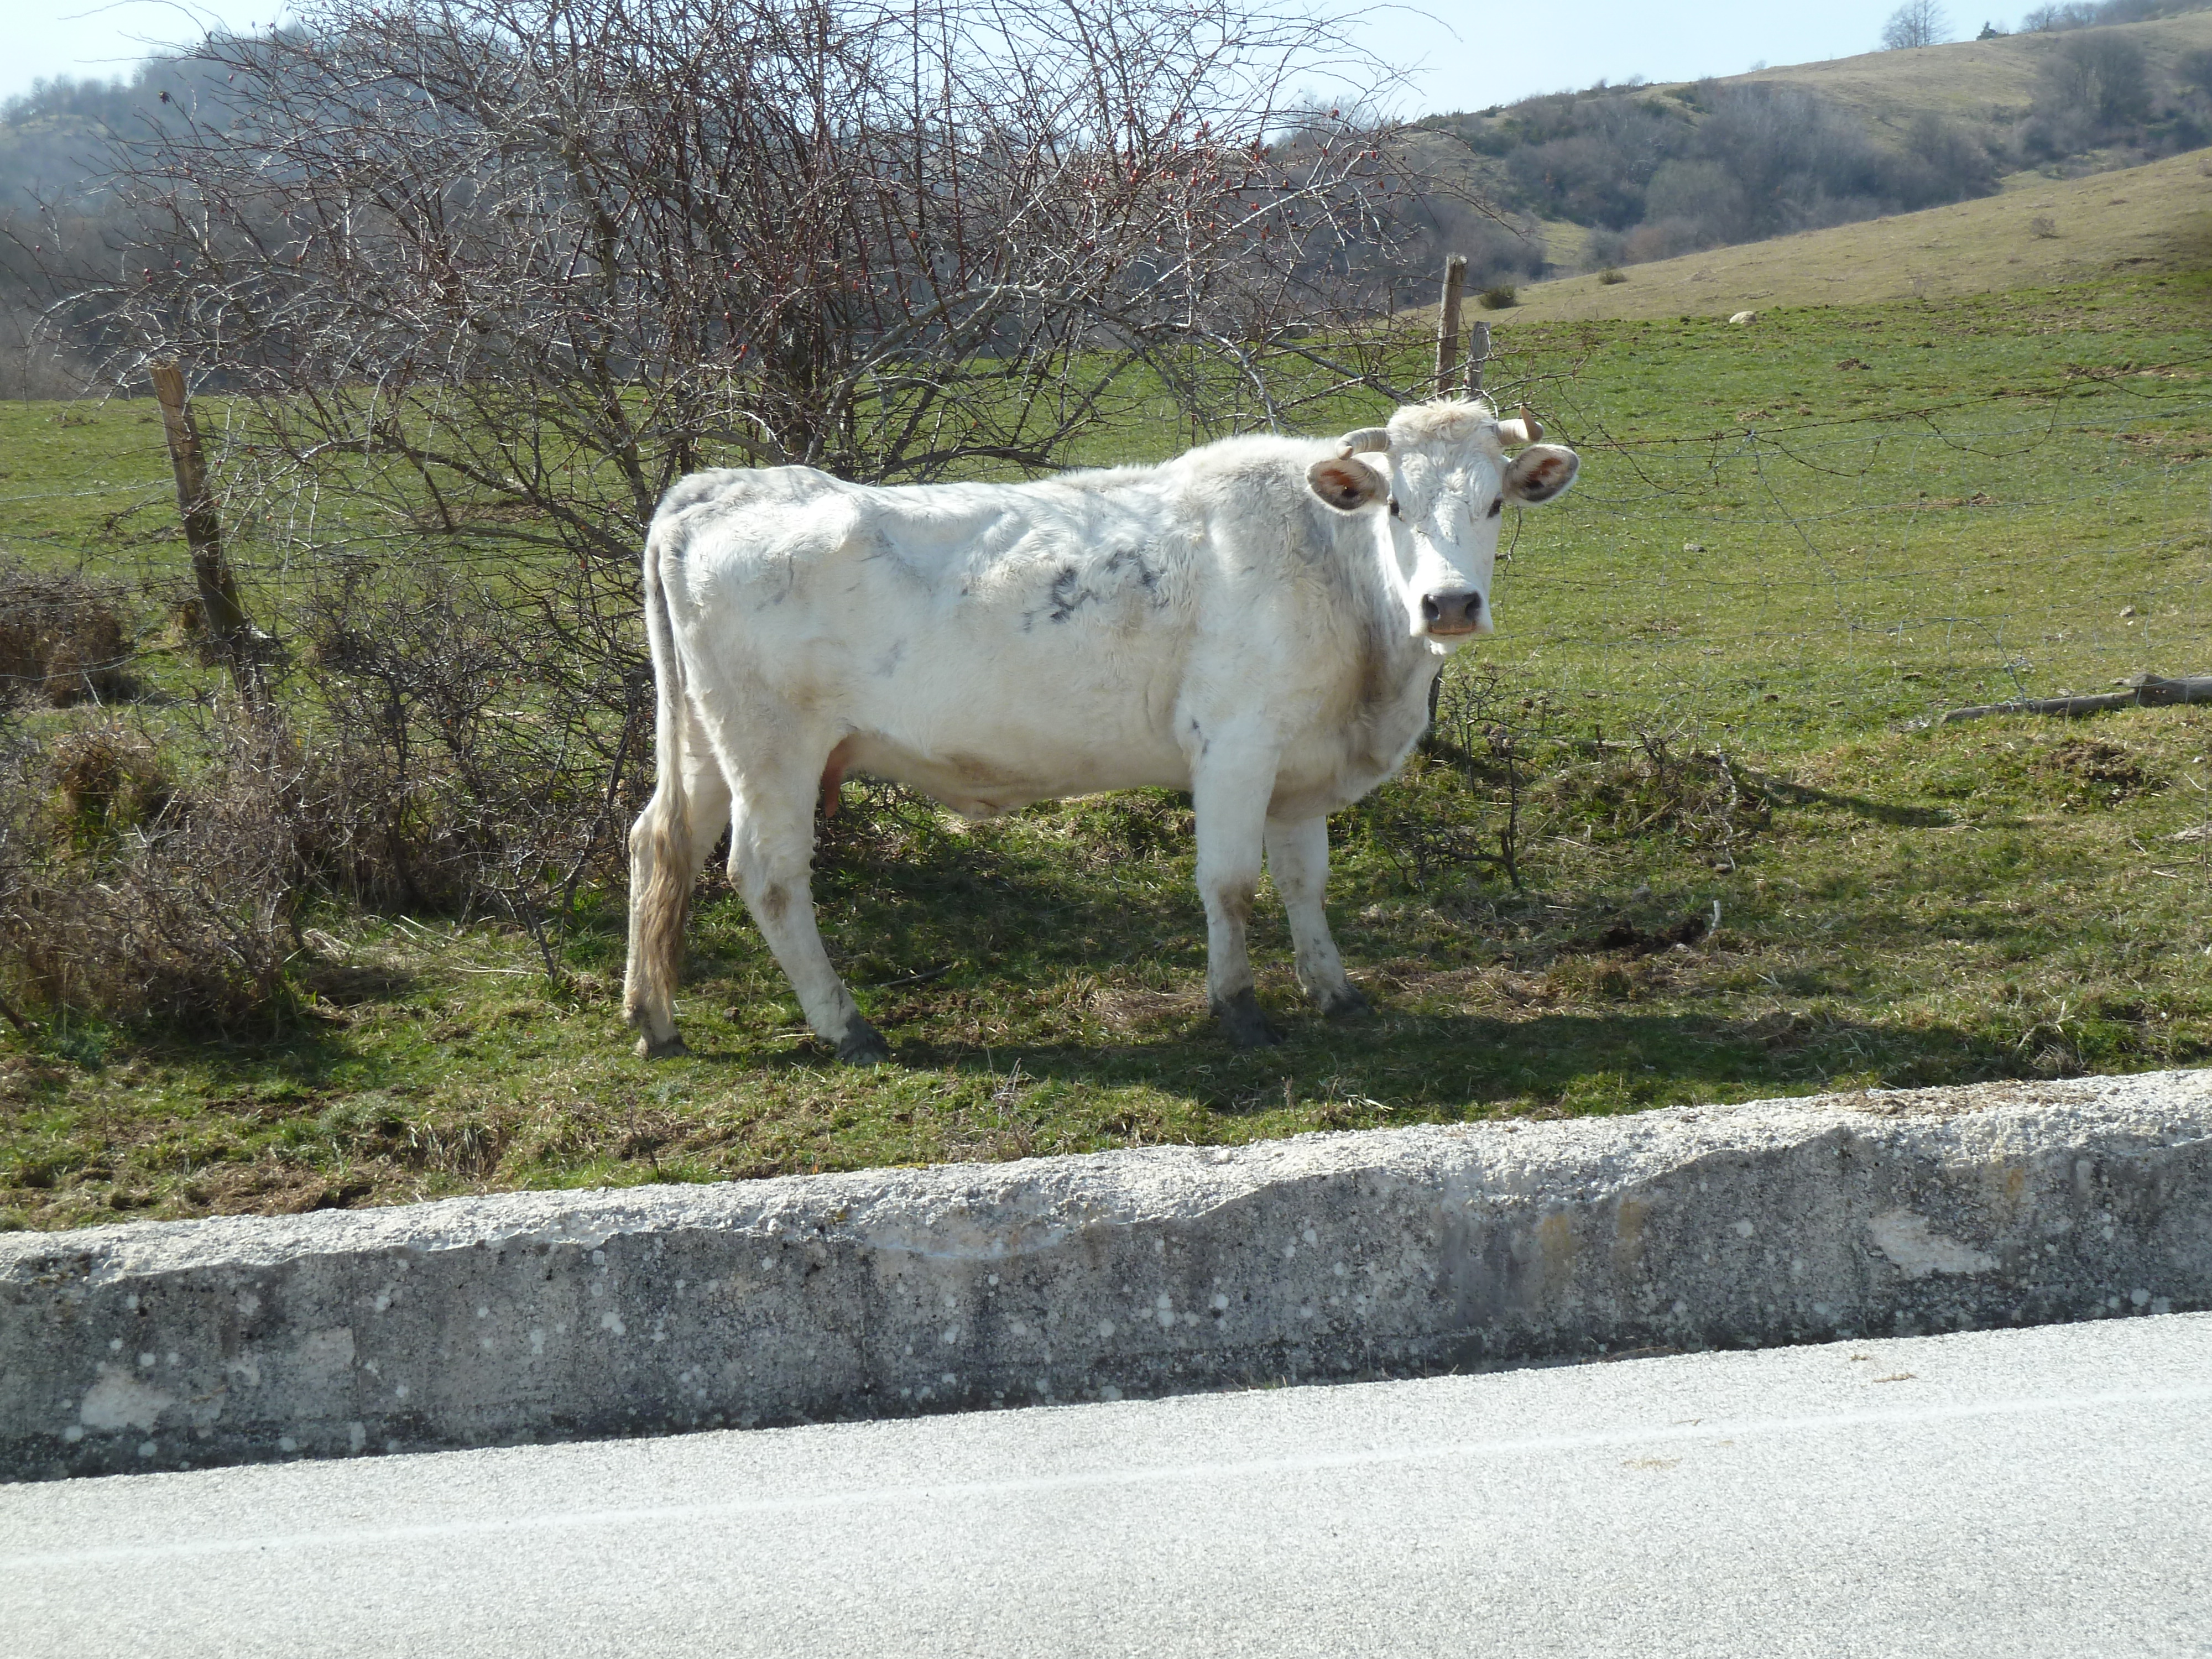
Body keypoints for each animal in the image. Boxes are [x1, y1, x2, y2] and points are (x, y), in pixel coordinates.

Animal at [622, 397, 1580, 1062]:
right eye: (1397, 509)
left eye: (1495, 504)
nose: (1449, 604)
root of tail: (721, 487)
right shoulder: (1235, 745)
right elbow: (1231, 884)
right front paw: (1239, 1010)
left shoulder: (1301, 765)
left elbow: (1306, 883)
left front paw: (1336, 993)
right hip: (773, 750)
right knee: (768, 875)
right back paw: (847, 1026)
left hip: (705, 743)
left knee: (660, 842)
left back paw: (654, 1018)